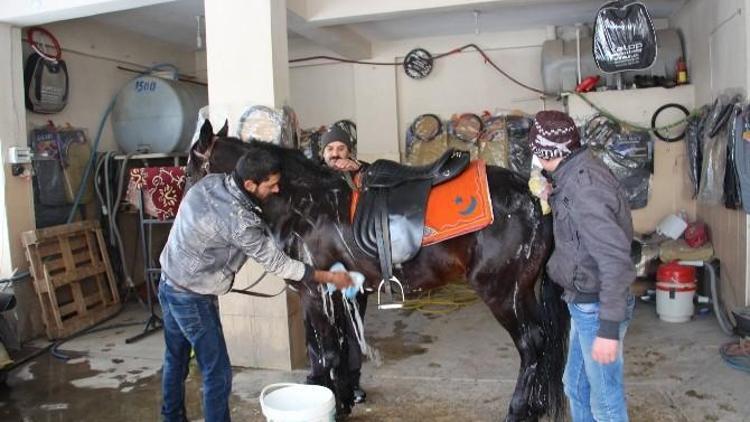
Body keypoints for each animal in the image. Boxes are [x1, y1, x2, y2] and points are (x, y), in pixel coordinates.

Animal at [188, 120, 568, 420]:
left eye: (191, 166)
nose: (186, 208)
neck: (305, 206)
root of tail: (533, 196)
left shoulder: (316, 294)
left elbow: (326, 351)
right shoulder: (339, 294)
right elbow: (337, 349)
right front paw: (342, 399)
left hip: (503, 292)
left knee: (530, 344)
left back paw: (518, 411)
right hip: (522, 289)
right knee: (544, 342)